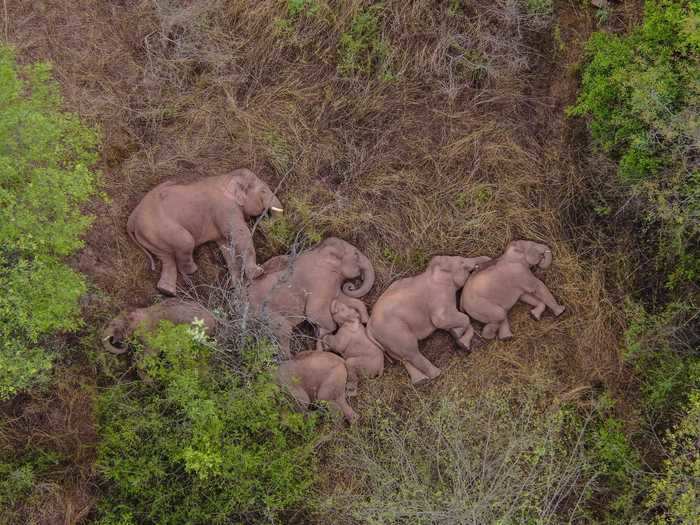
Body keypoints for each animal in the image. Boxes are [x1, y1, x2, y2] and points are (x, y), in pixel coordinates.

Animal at [129, 170, 284, 296]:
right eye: (263, 191)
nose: (264, 220)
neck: (227, 177)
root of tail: (132, 218)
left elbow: (227, 247)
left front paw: (237, 289)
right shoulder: (225, 208)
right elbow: (240, 234)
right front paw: (258, 273)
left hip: (151, 237)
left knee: (166, 258)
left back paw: (166, 291)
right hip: (160, 228)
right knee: (186, 242)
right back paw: (192, 271)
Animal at [366, 255, 492, 384]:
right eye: (461, 262)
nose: (488, 258)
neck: (432, 272)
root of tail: (369, 327)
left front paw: (459, 338)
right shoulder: (439, 297)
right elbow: (445, 320)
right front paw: (458, 336)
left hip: (387, 340)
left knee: (402, 357)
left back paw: (420, 380)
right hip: (394, 332)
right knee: (411, 352)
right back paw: (436, 374)